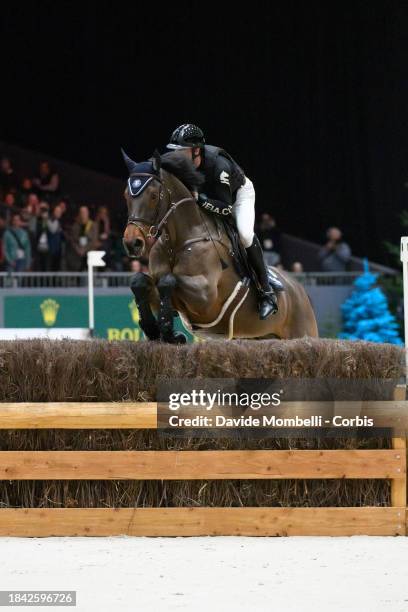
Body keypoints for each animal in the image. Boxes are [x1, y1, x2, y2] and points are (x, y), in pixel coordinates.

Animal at [121, 147, 318, 340]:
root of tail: (300, 290)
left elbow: (168, 281)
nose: (133, 243)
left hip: (302, 333)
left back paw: (268, 303)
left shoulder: (205, 297)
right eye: (126, 196)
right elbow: (139, 281)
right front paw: (153, 329)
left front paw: (169, 333)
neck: (176, 244)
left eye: (154, 196)